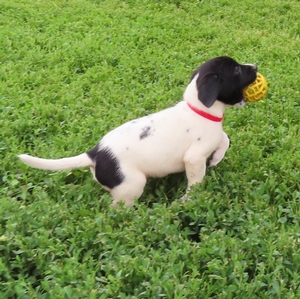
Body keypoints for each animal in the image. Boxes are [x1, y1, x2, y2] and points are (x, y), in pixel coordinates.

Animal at [18, 57, 256, 209]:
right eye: (236, 70)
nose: (255, 66)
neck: (199, 110)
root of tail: (95, 153)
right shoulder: (194, 158)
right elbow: (196, 181)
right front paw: (189, 199)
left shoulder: (214, 138)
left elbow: (225, 139)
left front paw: (216, 159)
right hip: (132, 184)